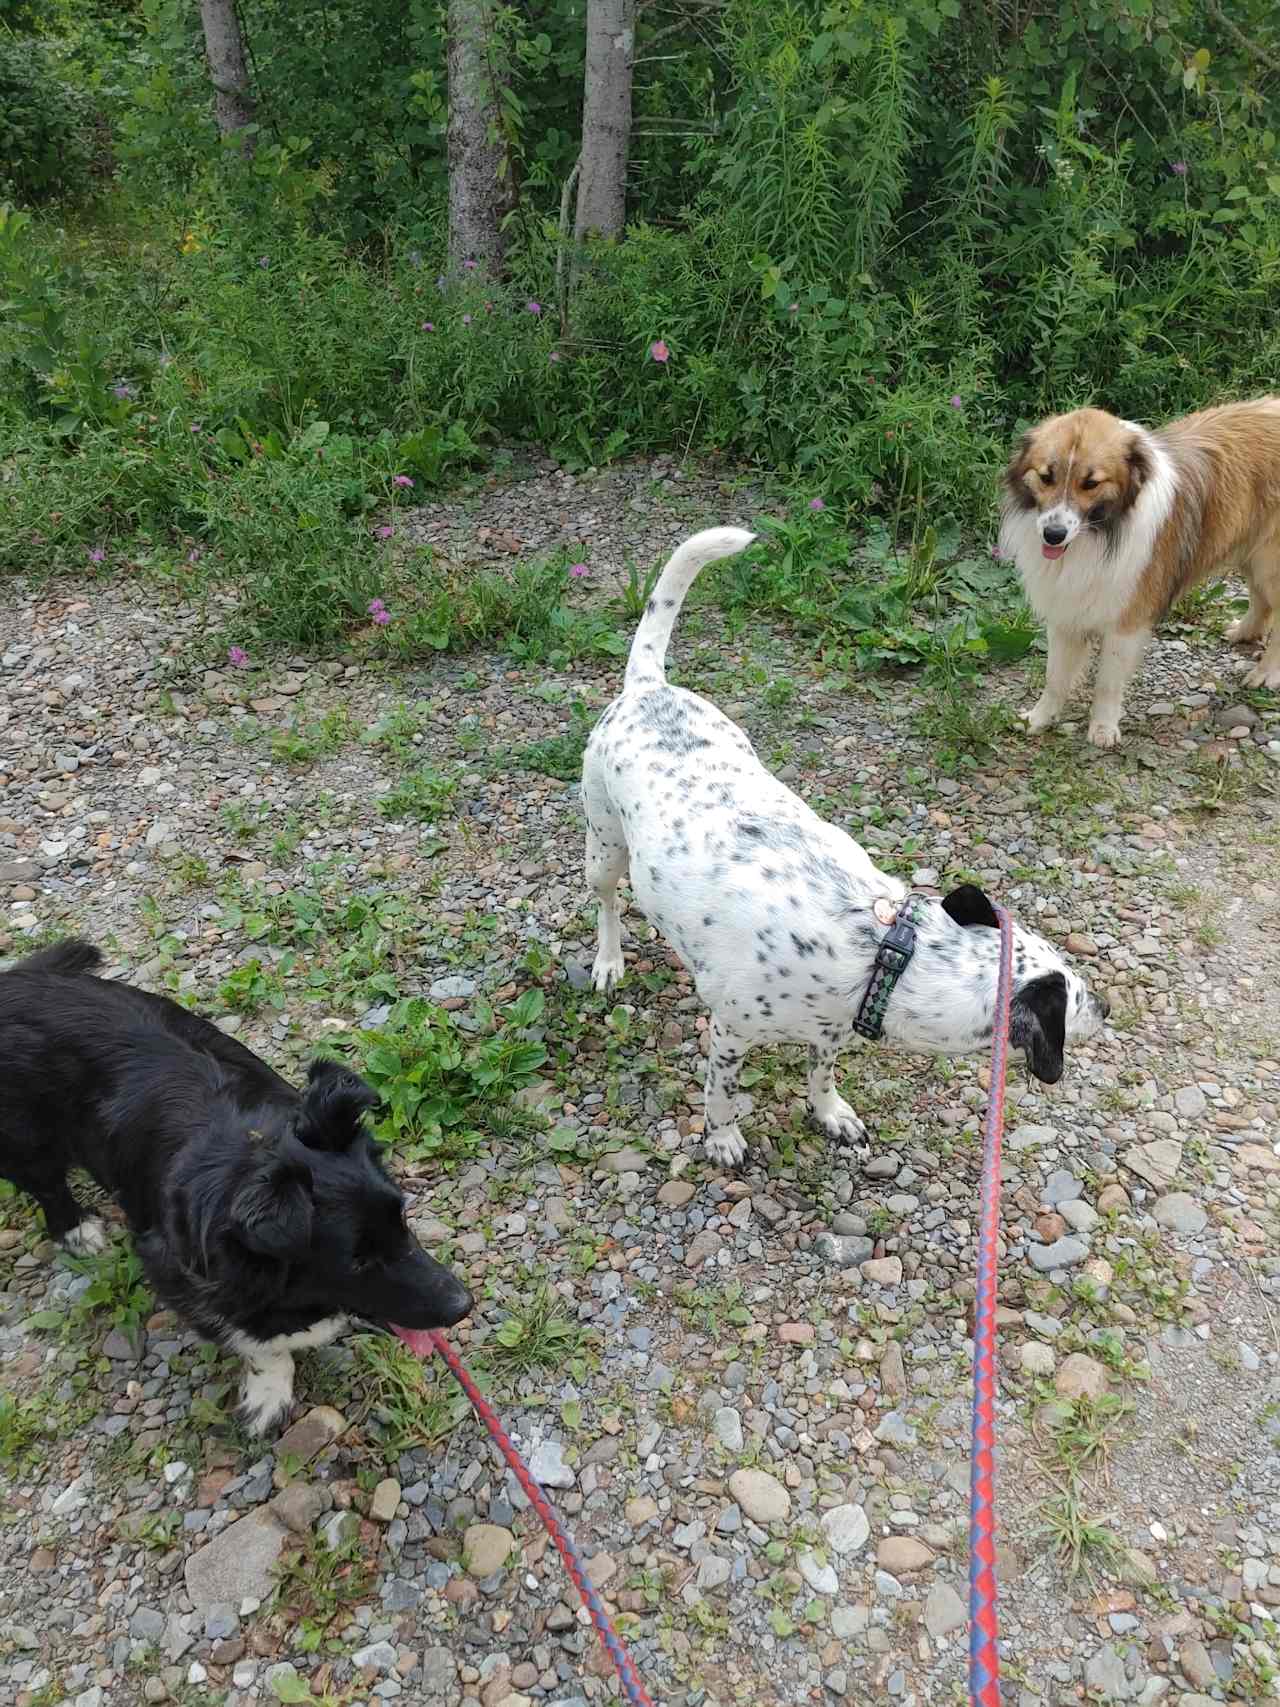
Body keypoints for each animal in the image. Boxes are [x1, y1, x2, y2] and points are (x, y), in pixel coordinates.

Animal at [0, 942, 474, 1433]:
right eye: (358, 1262)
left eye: (402, 1218)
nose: (464, 1304)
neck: (253, 1149)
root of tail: (13, 979)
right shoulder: (179, 1270)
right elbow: (254, 1339)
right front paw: (269, 1390)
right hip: (23, 1139)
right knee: (47, 1186)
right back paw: (75, 1229)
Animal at [583, 532, 1112, 1174]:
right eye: (1078, 1000)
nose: (1109, 1008)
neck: (888, 949)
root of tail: (648, 687)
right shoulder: (731, 1034)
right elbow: (722, 1094)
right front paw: (723, 1138)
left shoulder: (832, 1028)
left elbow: (822, 1074)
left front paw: (830, 1112)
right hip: (604, 848)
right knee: (608, 905)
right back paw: (608, 960)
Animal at [1003, 402, 1280, 751]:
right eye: (1046, 477)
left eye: (1091, 483)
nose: (1053, 535)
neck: (1102, 532)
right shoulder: (1066, 610)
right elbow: (1055, 677)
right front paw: (1039, 719)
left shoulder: (1126, 622)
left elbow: (1107, 683)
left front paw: (1103, 728)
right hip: (1251, 551)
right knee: (1261, 600)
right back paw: (1244, 632)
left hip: (1269, 561)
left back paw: (1266, 673)